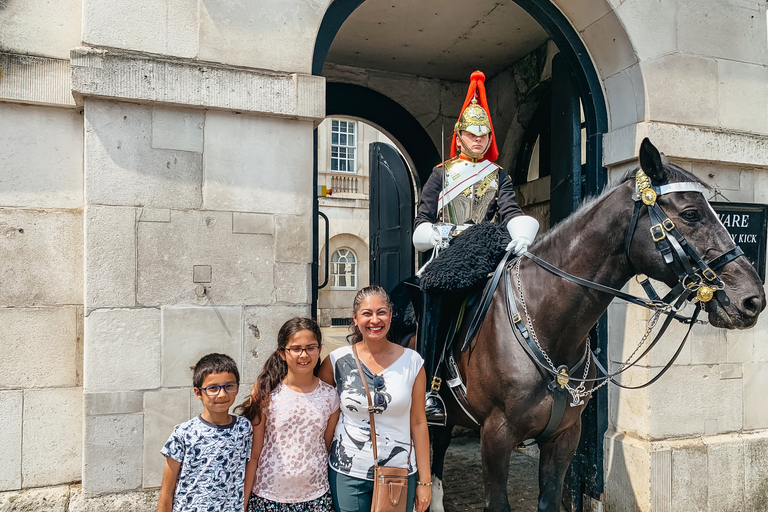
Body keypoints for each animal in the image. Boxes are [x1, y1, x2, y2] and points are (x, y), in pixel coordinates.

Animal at [396, 139, 760, 512]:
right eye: (691, 214)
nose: (752, 299)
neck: (547, 329)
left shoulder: (565, 436)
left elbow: (549, 499)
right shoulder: (495, 435)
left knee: (438, 445)